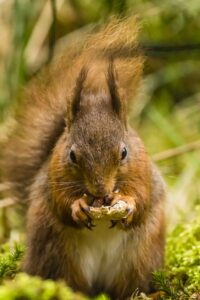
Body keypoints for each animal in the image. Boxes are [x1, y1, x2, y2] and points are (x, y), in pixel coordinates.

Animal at [3, 18, 166, 300]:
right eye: (72, 155)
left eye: (124, 152)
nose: (101, 191)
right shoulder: (54, 176)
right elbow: (61, 202)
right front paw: (78, 207)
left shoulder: (143, 171)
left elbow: (142, 197)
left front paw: (128, 203)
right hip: (56, 251)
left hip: (142, 256)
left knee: (130, 284)